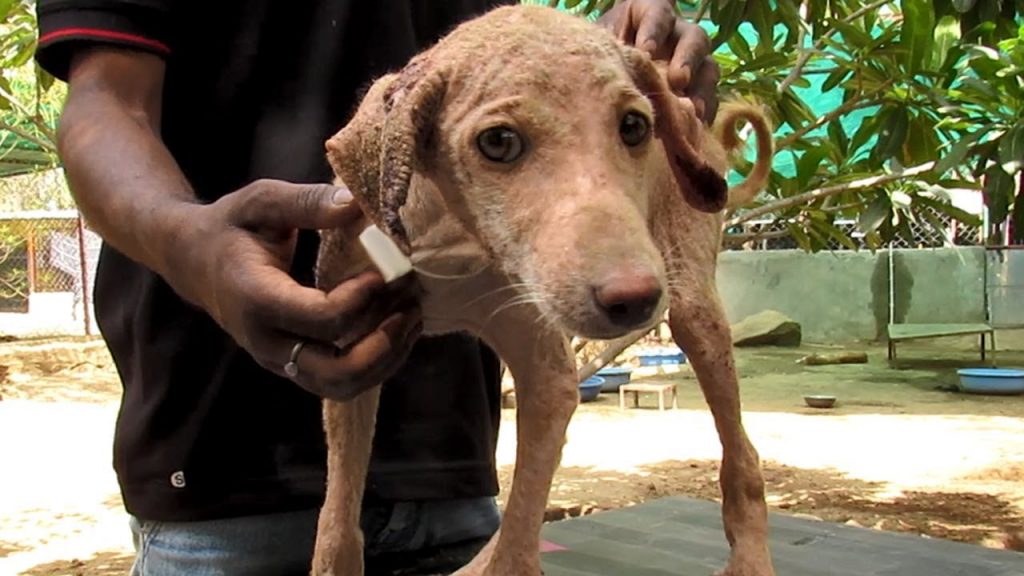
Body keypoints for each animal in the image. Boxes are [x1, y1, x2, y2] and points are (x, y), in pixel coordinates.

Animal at [311, 5, 774, 573]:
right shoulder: (350, 357)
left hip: (691, 305)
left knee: (742, 457)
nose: (635, 299)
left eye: (634, 126)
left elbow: (519, 536)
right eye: (498, 141)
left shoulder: (546, 368)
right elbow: (337, 519)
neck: (453, 229)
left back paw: (751, 558)